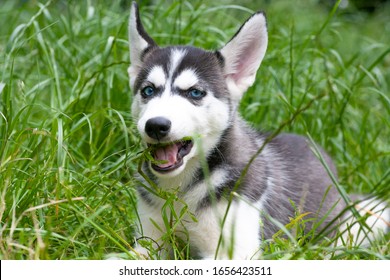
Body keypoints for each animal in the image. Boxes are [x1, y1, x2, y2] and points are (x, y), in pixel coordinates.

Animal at [127, 2, 386, 260]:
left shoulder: (233, 249)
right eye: (148, 90)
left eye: (195, 93)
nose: (156, 125)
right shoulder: (148, 241)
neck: (180, 190)